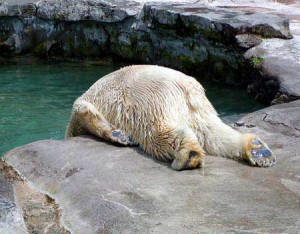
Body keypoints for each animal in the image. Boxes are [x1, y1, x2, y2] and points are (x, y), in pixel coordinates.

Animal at [65, 65, 276, 171]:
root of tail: (187, 87)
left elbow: (82, 112)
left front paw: (118, 135)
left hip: (147, 101)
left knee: (155, 132)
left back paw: (188, 156)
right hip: (200, 109)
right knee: (212, 133)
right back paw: (259, 150)